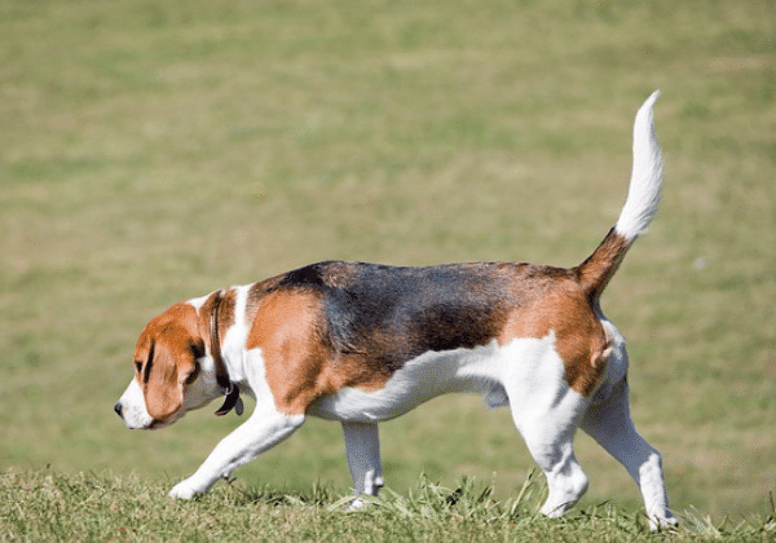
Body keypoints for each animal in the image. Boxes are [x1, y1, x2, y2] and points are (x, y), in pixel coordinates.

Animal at [116, 92, 680, 532]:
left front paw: (186, 490)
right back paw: (661, 523)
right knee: (647, 459)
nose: (120, 410)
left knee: (571, 480)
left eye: (142, 366)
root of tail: (576, 280)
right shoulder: (358, 419)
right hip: (601, 406)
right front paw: (357, 511)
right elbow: (365, 475)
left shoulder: (280, 413)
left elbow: (223, 450)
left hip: (543, 413)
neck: (237, 320)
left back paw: (535, 521)